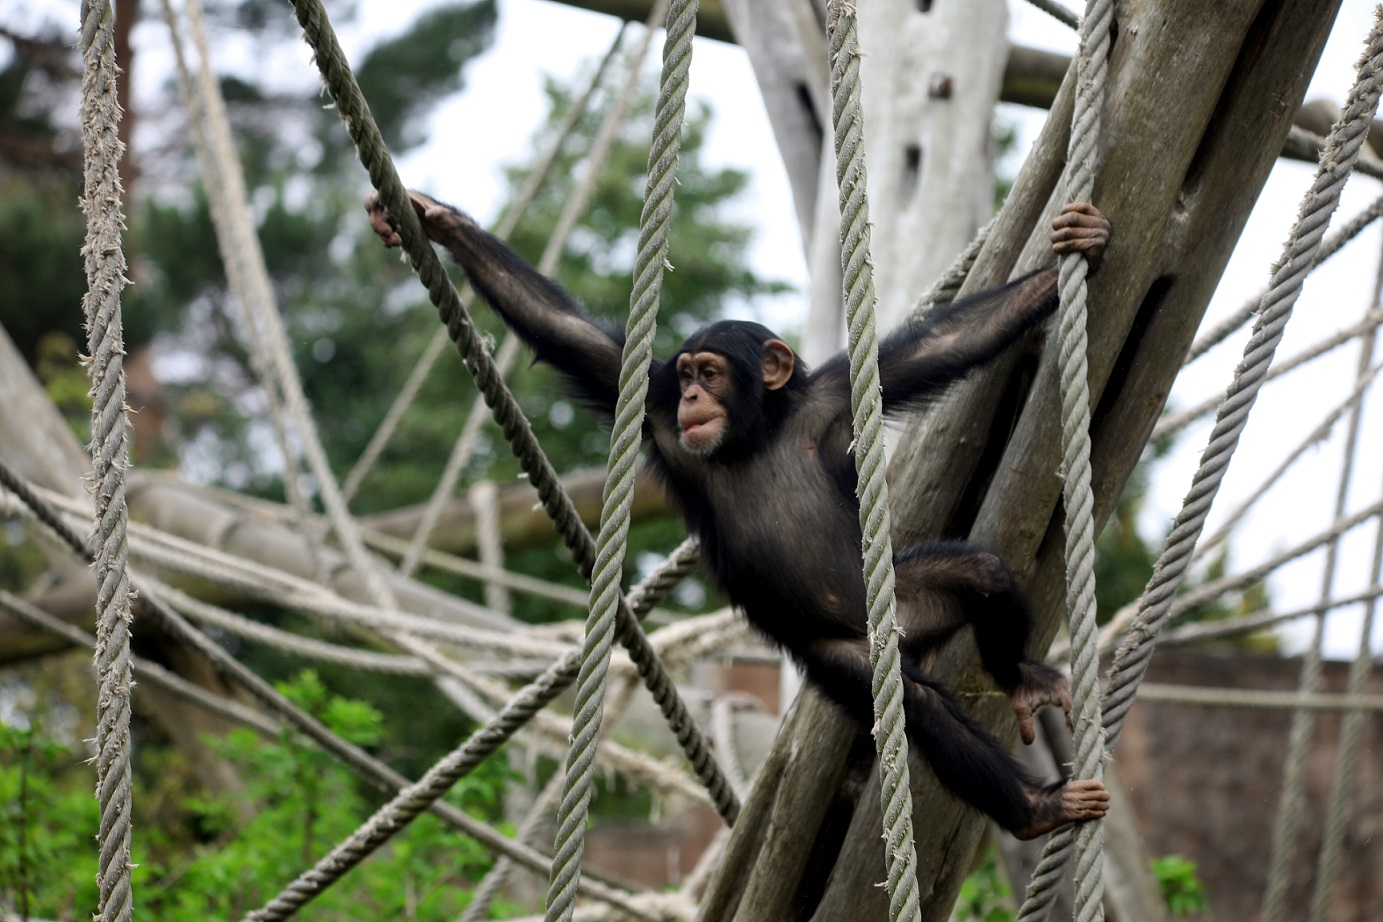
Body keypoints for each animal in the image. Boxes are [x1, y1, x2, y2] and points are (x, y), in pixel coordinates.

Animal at [367, 190, 1111, 840]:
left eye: (712, 372)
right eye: (686, 373)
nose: (695, 395)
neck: (753, 434)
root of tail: (894, 628)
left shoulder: (835, 395)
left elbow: (948, 343)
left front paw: (1078, 249)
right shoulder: (654, 403)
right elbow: (569, 333)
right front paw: (440, 221)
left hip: (907, 595)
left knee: (981, 571)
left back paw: (1023, 684)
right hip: (839, 654)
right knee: (918, 705)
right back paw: (1032, 803)